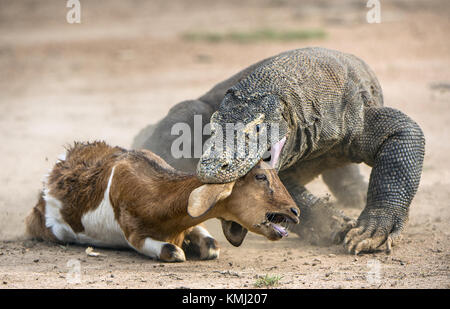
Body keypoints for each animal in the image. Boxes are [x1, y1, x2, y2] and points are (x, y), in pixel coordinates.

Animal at [23, 141, 298, 260]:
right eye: (261, 177)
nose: (295, 211)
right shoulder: (135, 234)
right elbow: (172, 252)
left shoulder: (192, 223)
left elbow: (211, 246)